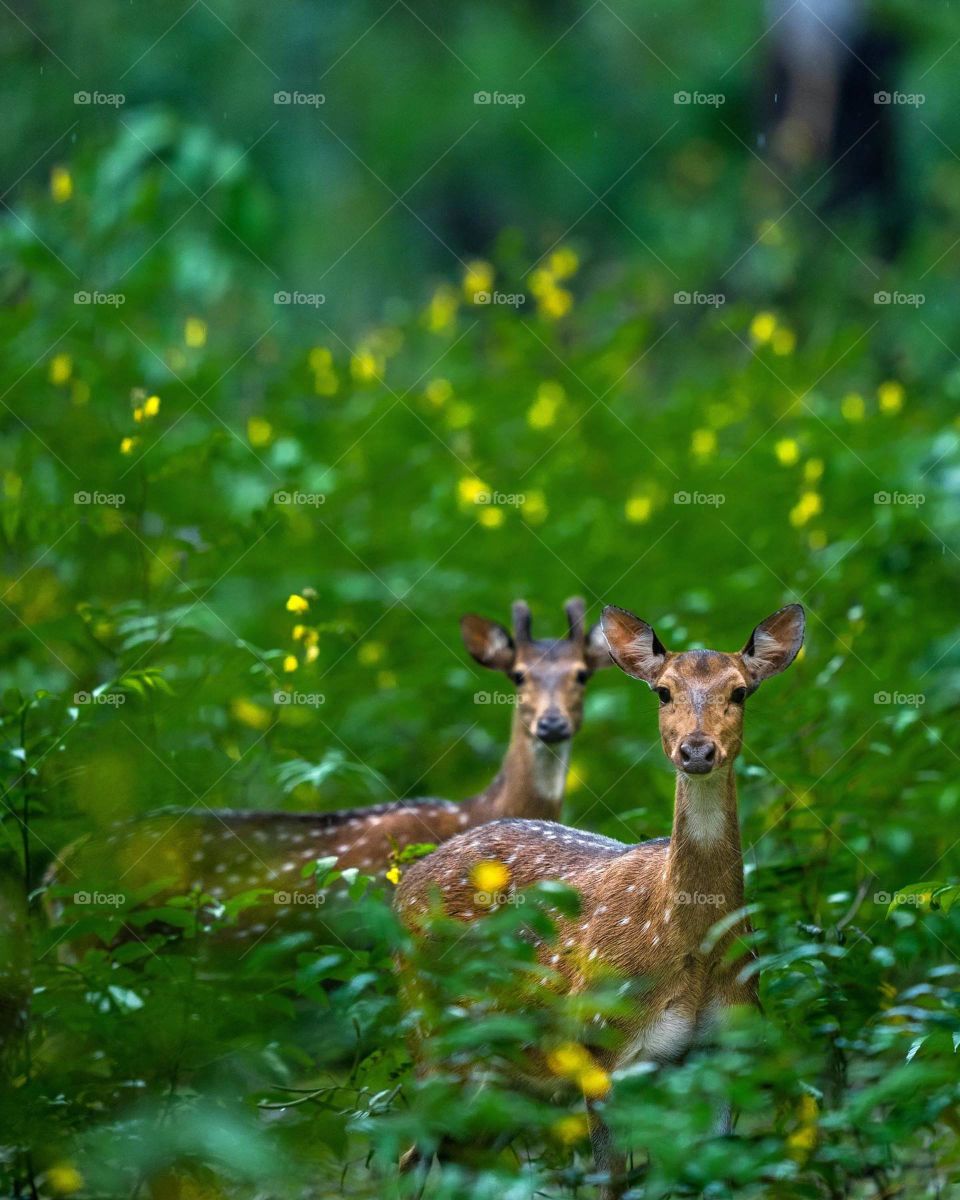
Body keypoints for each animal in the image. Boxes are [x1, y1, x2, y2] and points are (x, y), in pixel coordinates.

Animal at [393, 604, 806, 1195]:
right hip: (432, 1029)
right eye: (662, 691)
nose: (696, 749)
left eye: (741, 691)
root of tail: (403, 884)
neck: (684, 941)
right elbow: (610, 1180)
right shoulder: (600, 1045)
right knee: (410, 1154)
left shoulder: (727, 1047)